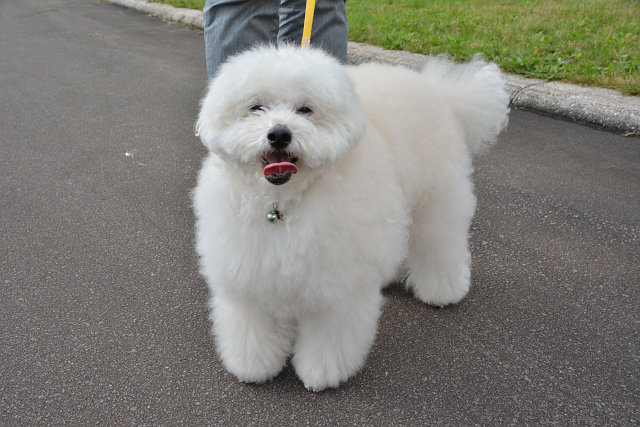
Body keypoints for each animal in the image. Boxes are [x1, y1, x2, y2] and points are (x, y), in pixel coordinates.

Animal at [192, 46, 508, 392]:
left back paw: (444, 290)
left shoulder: (337, 286)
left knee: (440, 244)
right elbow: (253, 328)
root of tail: (437, 89)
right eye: (256, 107)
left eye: (306, 109)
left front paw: (322, 372)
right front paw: (253, 365)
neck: (283, 202)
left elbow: (331, 337)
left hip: (437, 200)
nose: (278, 134)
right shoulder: (250, 273)